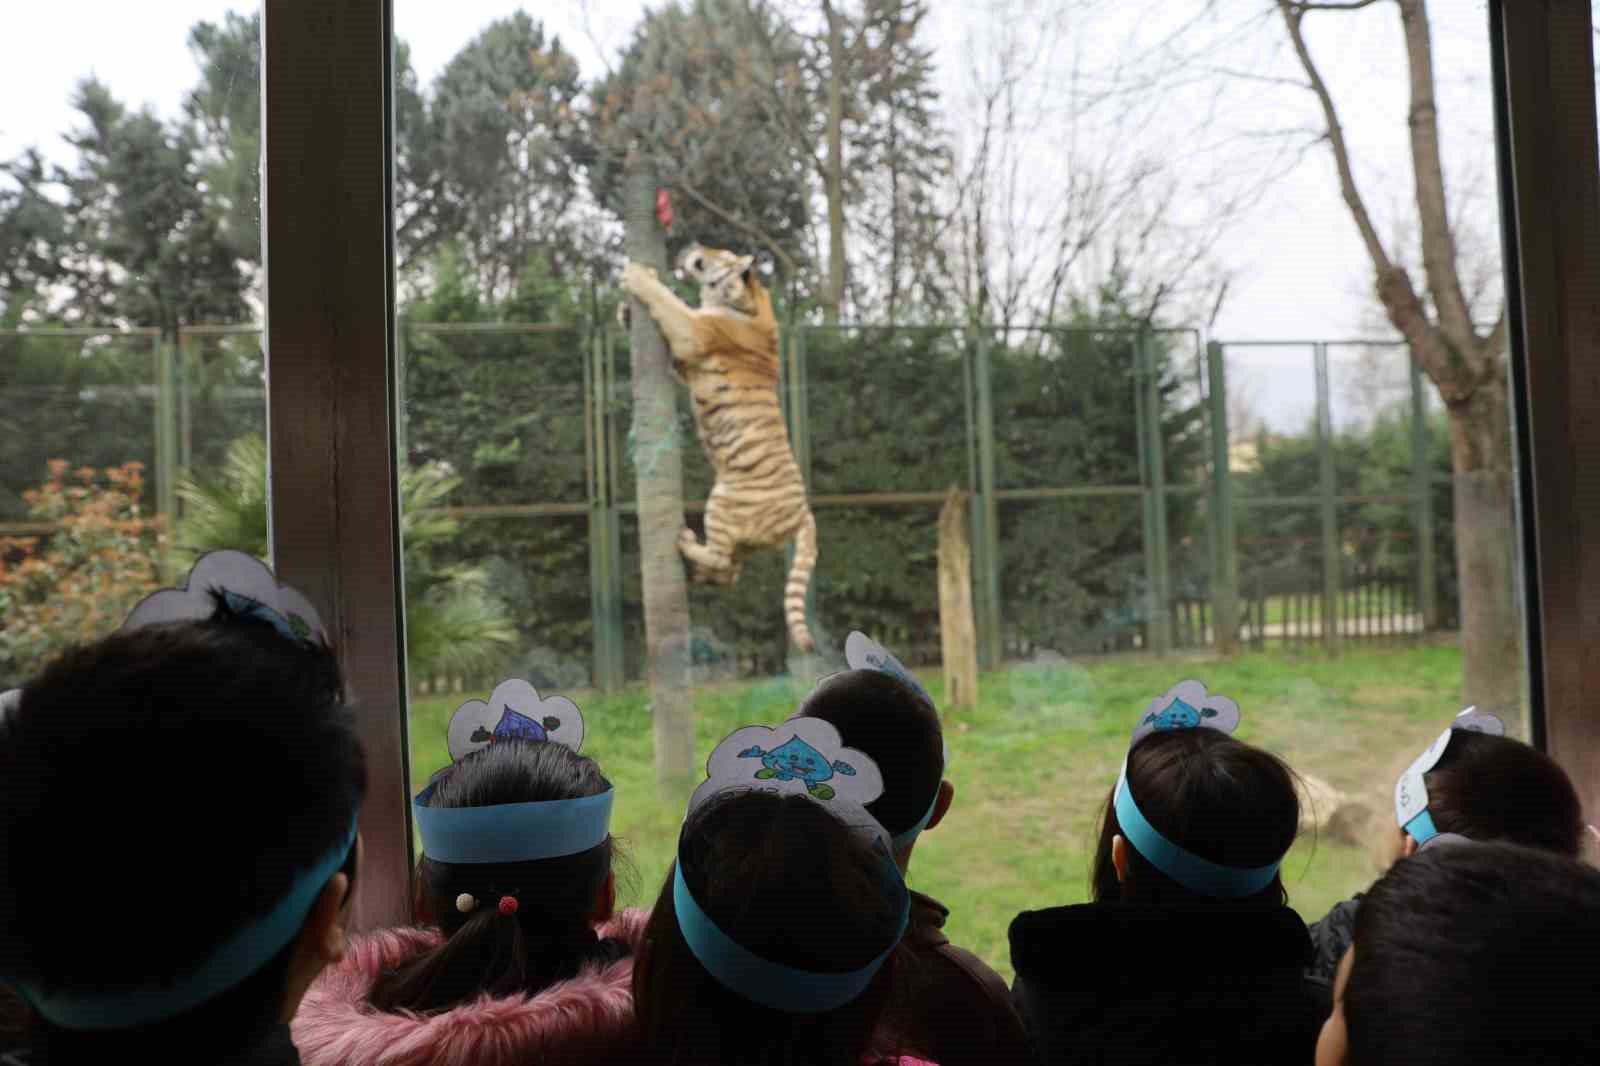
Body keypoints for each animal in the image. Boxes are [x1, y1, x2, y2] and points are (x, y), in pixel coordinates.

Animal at [620, 244, 819, 653]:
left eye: (722, 254)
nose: (696, 247)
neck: (748, 300)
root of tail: (805, 515)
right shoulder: (684, 359)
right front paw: (626, 311)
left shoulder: (693, 332)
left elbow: (668, 302)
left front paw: (639, 275)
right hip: (740, 536)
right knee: (729, 571)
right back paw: (695, 568)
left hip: (723, 504)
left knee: (722, 559)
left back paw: (685, 543)